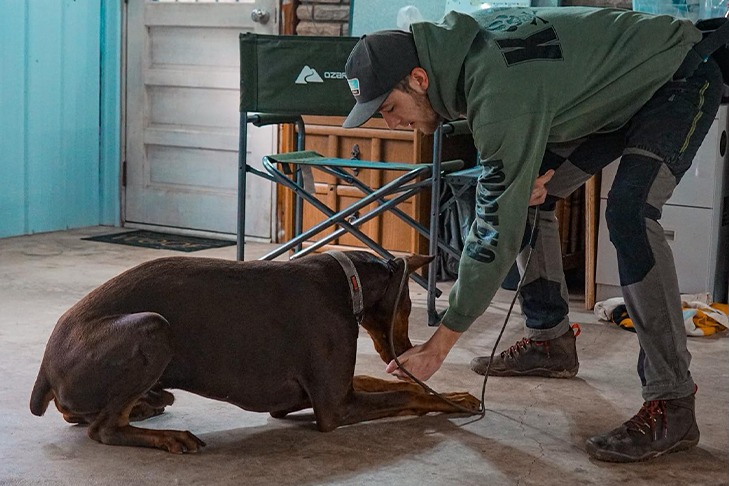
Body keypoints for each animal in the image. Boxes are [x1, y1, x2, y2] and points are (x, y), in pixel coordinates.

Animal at [31, 252, 480, 454]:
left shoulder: (309, 395)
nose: (405, 353)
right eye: (407, 306)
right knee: (104, 428)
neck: (348, 281)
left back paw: (148, 405)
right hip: (154, 328)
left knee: (91, 413)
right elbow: (404, 394)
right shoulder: (336, 406)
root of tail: (45, 369)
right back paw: (169, 435)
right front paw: (449, 402)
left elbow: (379, 381)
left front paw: (452, 394)